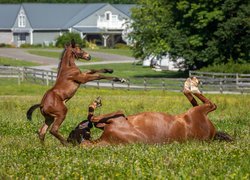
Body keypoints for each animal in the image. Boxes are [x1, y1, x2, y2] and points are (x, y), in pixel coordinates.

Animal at [68, 77, 232, 146]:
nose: (84, 124)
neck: (106, 139)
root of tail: (212, 135)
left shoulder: (114, 118)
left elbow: (93, 118)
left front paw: (94, 105)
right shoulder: (117, 117)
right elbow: (94, 117)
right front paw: (94, 105)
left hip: (193, 111)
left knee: (203, 102)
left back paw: (190, 83)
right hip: (195, 112)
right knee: (209, 104)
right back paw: (191, 84)